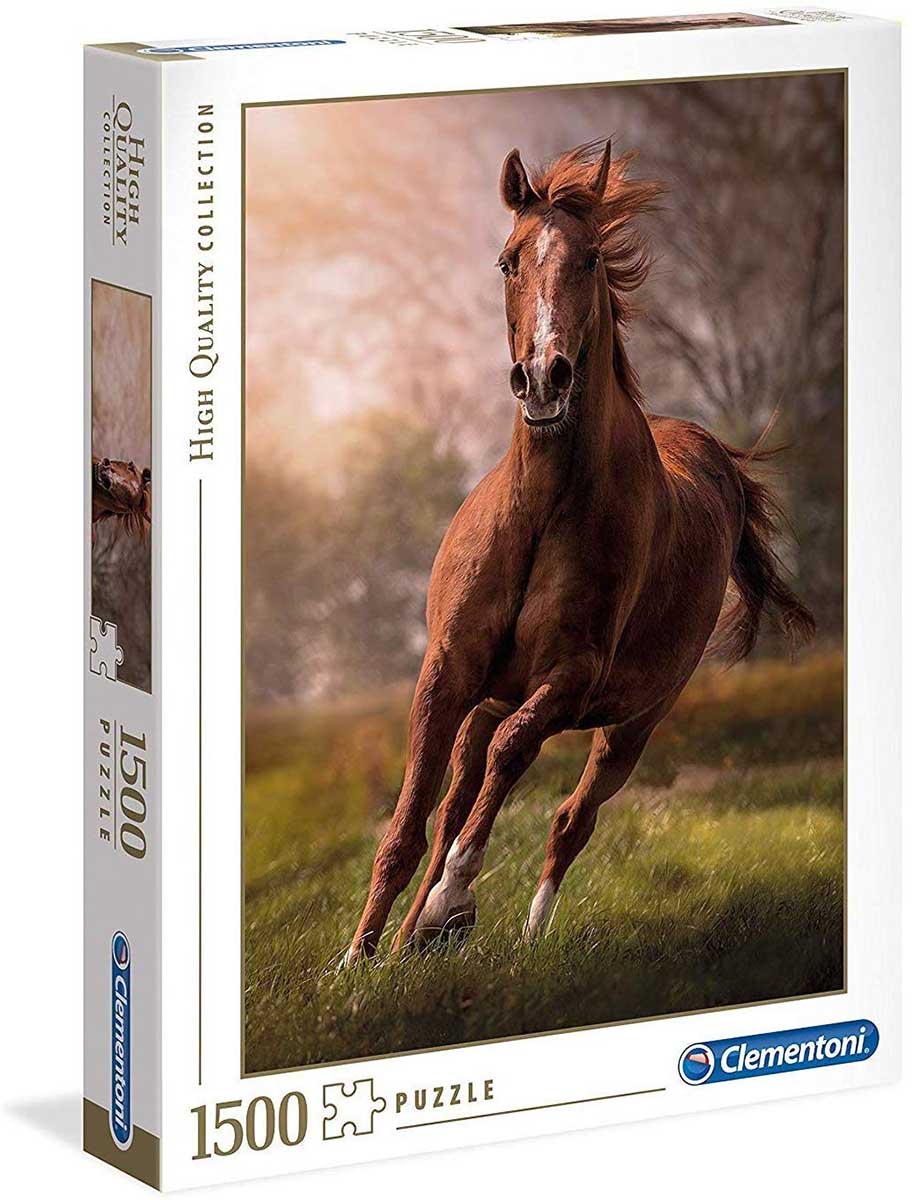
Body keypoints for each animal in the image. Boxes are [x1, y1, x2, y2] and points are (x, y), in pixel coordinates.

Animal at [345, 139, 814, 964]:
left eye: (591, 257)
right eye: (508, 260)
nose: (544, 376)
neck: (540, 511)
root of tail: (718, 458)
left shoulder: (570, 677)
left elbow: (513, 760)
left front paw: (453, 903)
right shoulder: (447, 671)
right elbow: (410, 823)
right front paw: (356, 961)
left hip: (633, 725)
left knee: (570, 818)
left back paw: (517, 934)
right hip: (493, 697)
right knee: (460, 794)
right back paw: (410, 942)